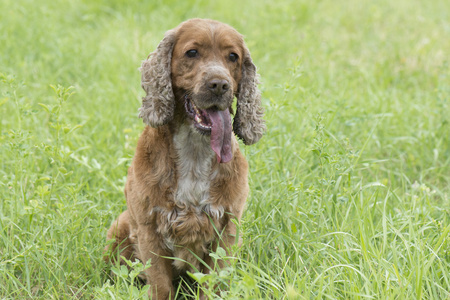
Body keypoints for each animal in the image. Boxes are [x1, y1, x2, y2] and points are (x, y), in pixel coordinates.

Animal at [106, 19, 266, 300]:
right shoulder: (149, 229)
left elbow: (213, 282)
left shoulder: (227, 229)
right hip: (118, 226)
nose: (220, 85)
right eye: (192, 52)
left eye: (233, 57)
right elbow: (160, 284)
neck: (194, 151)